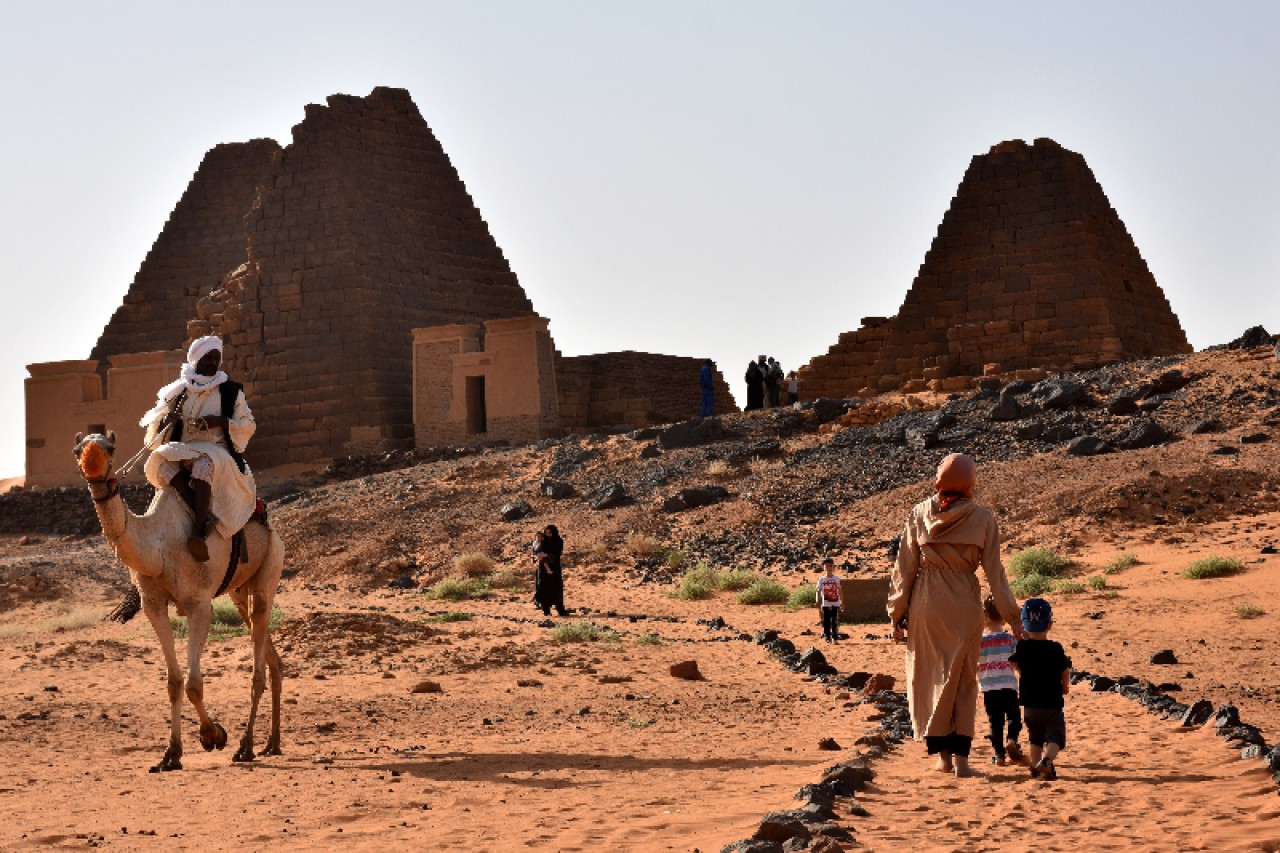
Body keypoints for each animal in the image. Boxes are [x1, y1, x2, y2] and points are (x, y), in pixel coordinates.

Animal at [76, 427, 286, 768]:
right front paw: (171, 754)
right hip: (239, 590)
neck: (158, 546)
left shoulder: (198, 604)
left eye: (110, 448)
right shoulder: (153, 605)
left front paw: (214, 736)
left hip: (270, 566)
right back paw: (273, 743)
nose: (91, 468)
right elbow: (174, 682)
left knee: (259, 655)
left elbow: (193, 684)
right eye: (78, 449)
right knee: (269, 652)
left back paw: (246, 746)